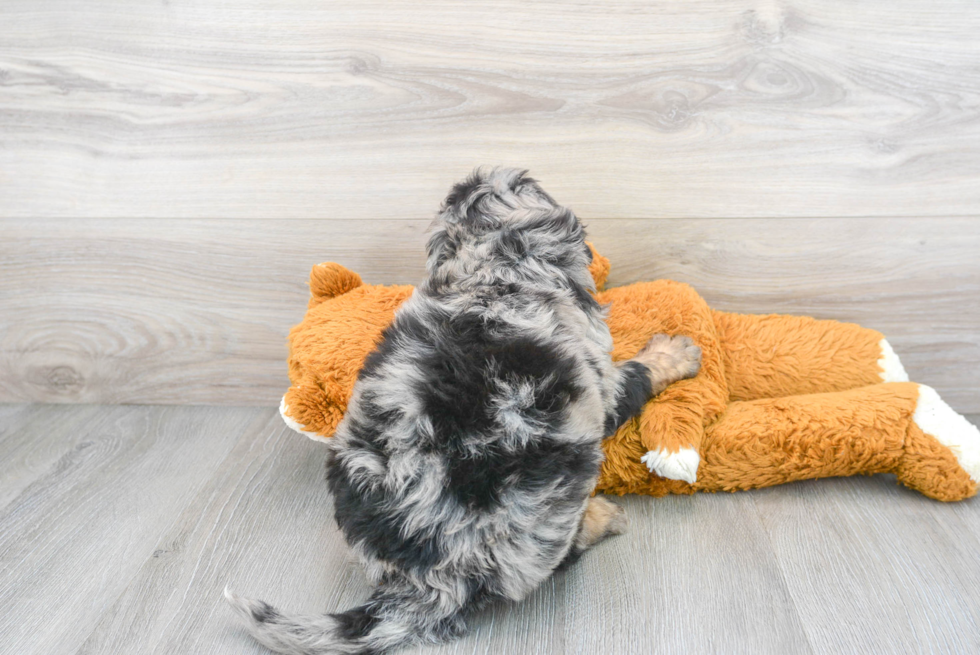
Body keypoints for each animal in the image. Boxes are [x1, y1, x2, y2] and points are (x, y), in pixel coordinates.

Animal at [226, 168, 700, 655]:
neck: (491, 275)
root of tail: (421, 580)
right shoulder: (598, 385)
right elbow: (635, 375)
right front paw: (672, 354)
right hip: (552, 503)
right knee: (560, 556)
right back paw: (601, 518)